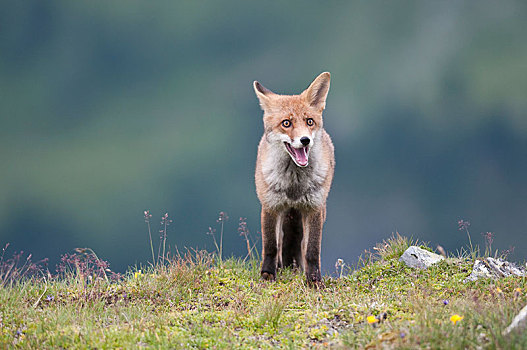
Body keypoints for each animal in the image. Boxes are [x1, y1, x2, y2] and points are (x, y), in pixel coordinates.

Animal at [253, 72, 334, 284]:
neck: (293, 187)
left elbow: (312, 250)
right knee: (280, 243)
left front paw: (313, 281)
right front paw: (267, 275)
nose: (305, 140)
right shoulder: (270, 205)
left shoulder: (314, 208)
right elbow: (271, 246)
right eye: (286, 123)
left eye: (309, 121)